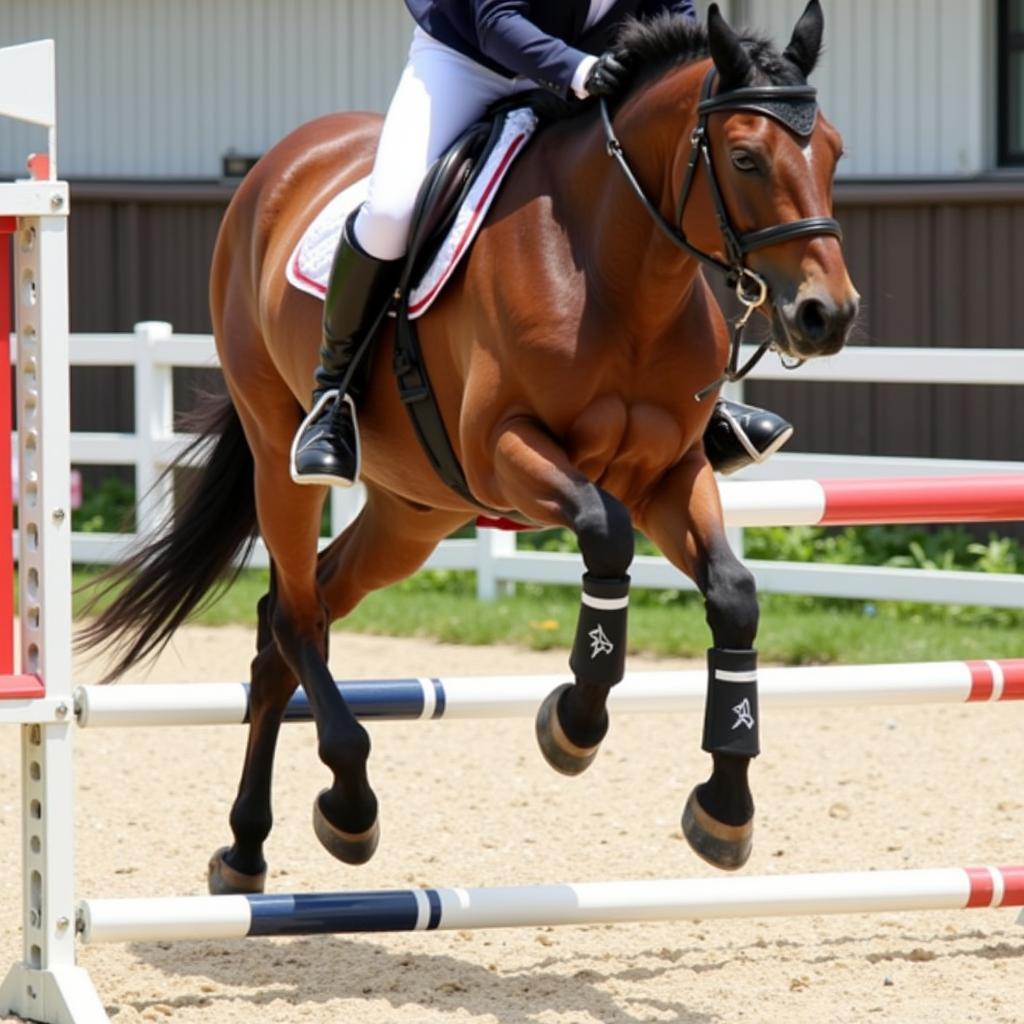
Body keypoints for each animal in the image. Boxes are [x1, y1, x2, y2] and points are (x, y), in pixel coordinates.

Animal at [79, 4, 856, 892]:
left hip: (413, 515)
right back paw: (349, 804)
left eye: (833, 152)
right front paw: (575, 722)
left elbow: (733, 594)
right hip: (285, 456)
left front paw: (725, 809)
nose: (826, 316)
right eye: (745, 156)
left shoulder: (670, 473)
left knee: (291, 622)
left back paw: (247, 850)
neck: (616, 270)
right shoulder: (505, 452)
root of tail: (279, 164)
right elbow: (604, 534)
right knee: (297, 617)